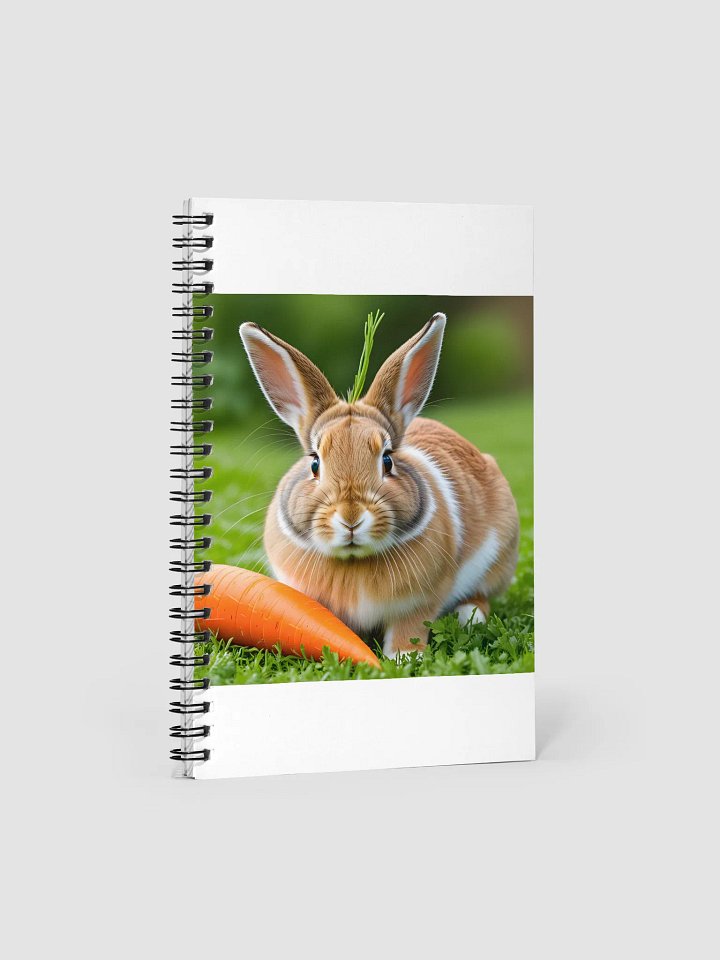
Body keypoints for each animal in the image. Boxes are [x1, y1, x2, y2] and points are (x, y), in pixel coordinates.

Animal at [239, 313, 519, 657]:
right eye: (314, 463)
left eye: (387, 461)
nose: (351, 518)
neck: (353, 562)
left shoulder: (419, 604)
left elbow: (409, 630)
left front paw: (403, 658)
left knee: (481, 596)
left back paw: (469, 617)